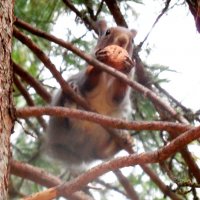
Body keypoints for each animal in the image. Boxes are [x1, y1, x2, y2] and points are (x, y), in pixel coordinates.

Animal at [44, 20, 137, 165]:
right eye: (107, 32)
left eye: (133, 40)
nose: (123, 40)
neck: (110, 70)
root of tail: (80, 151)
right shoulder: (84, 82)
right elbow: (88, 83)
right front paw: (99, 62)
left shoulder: (120, 94)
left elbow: (118, 97)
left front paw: (126, 67)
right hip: (62, 116)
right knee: (70, 120)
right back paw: (70, 102)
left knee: (102, 153)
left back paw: (123, 140)